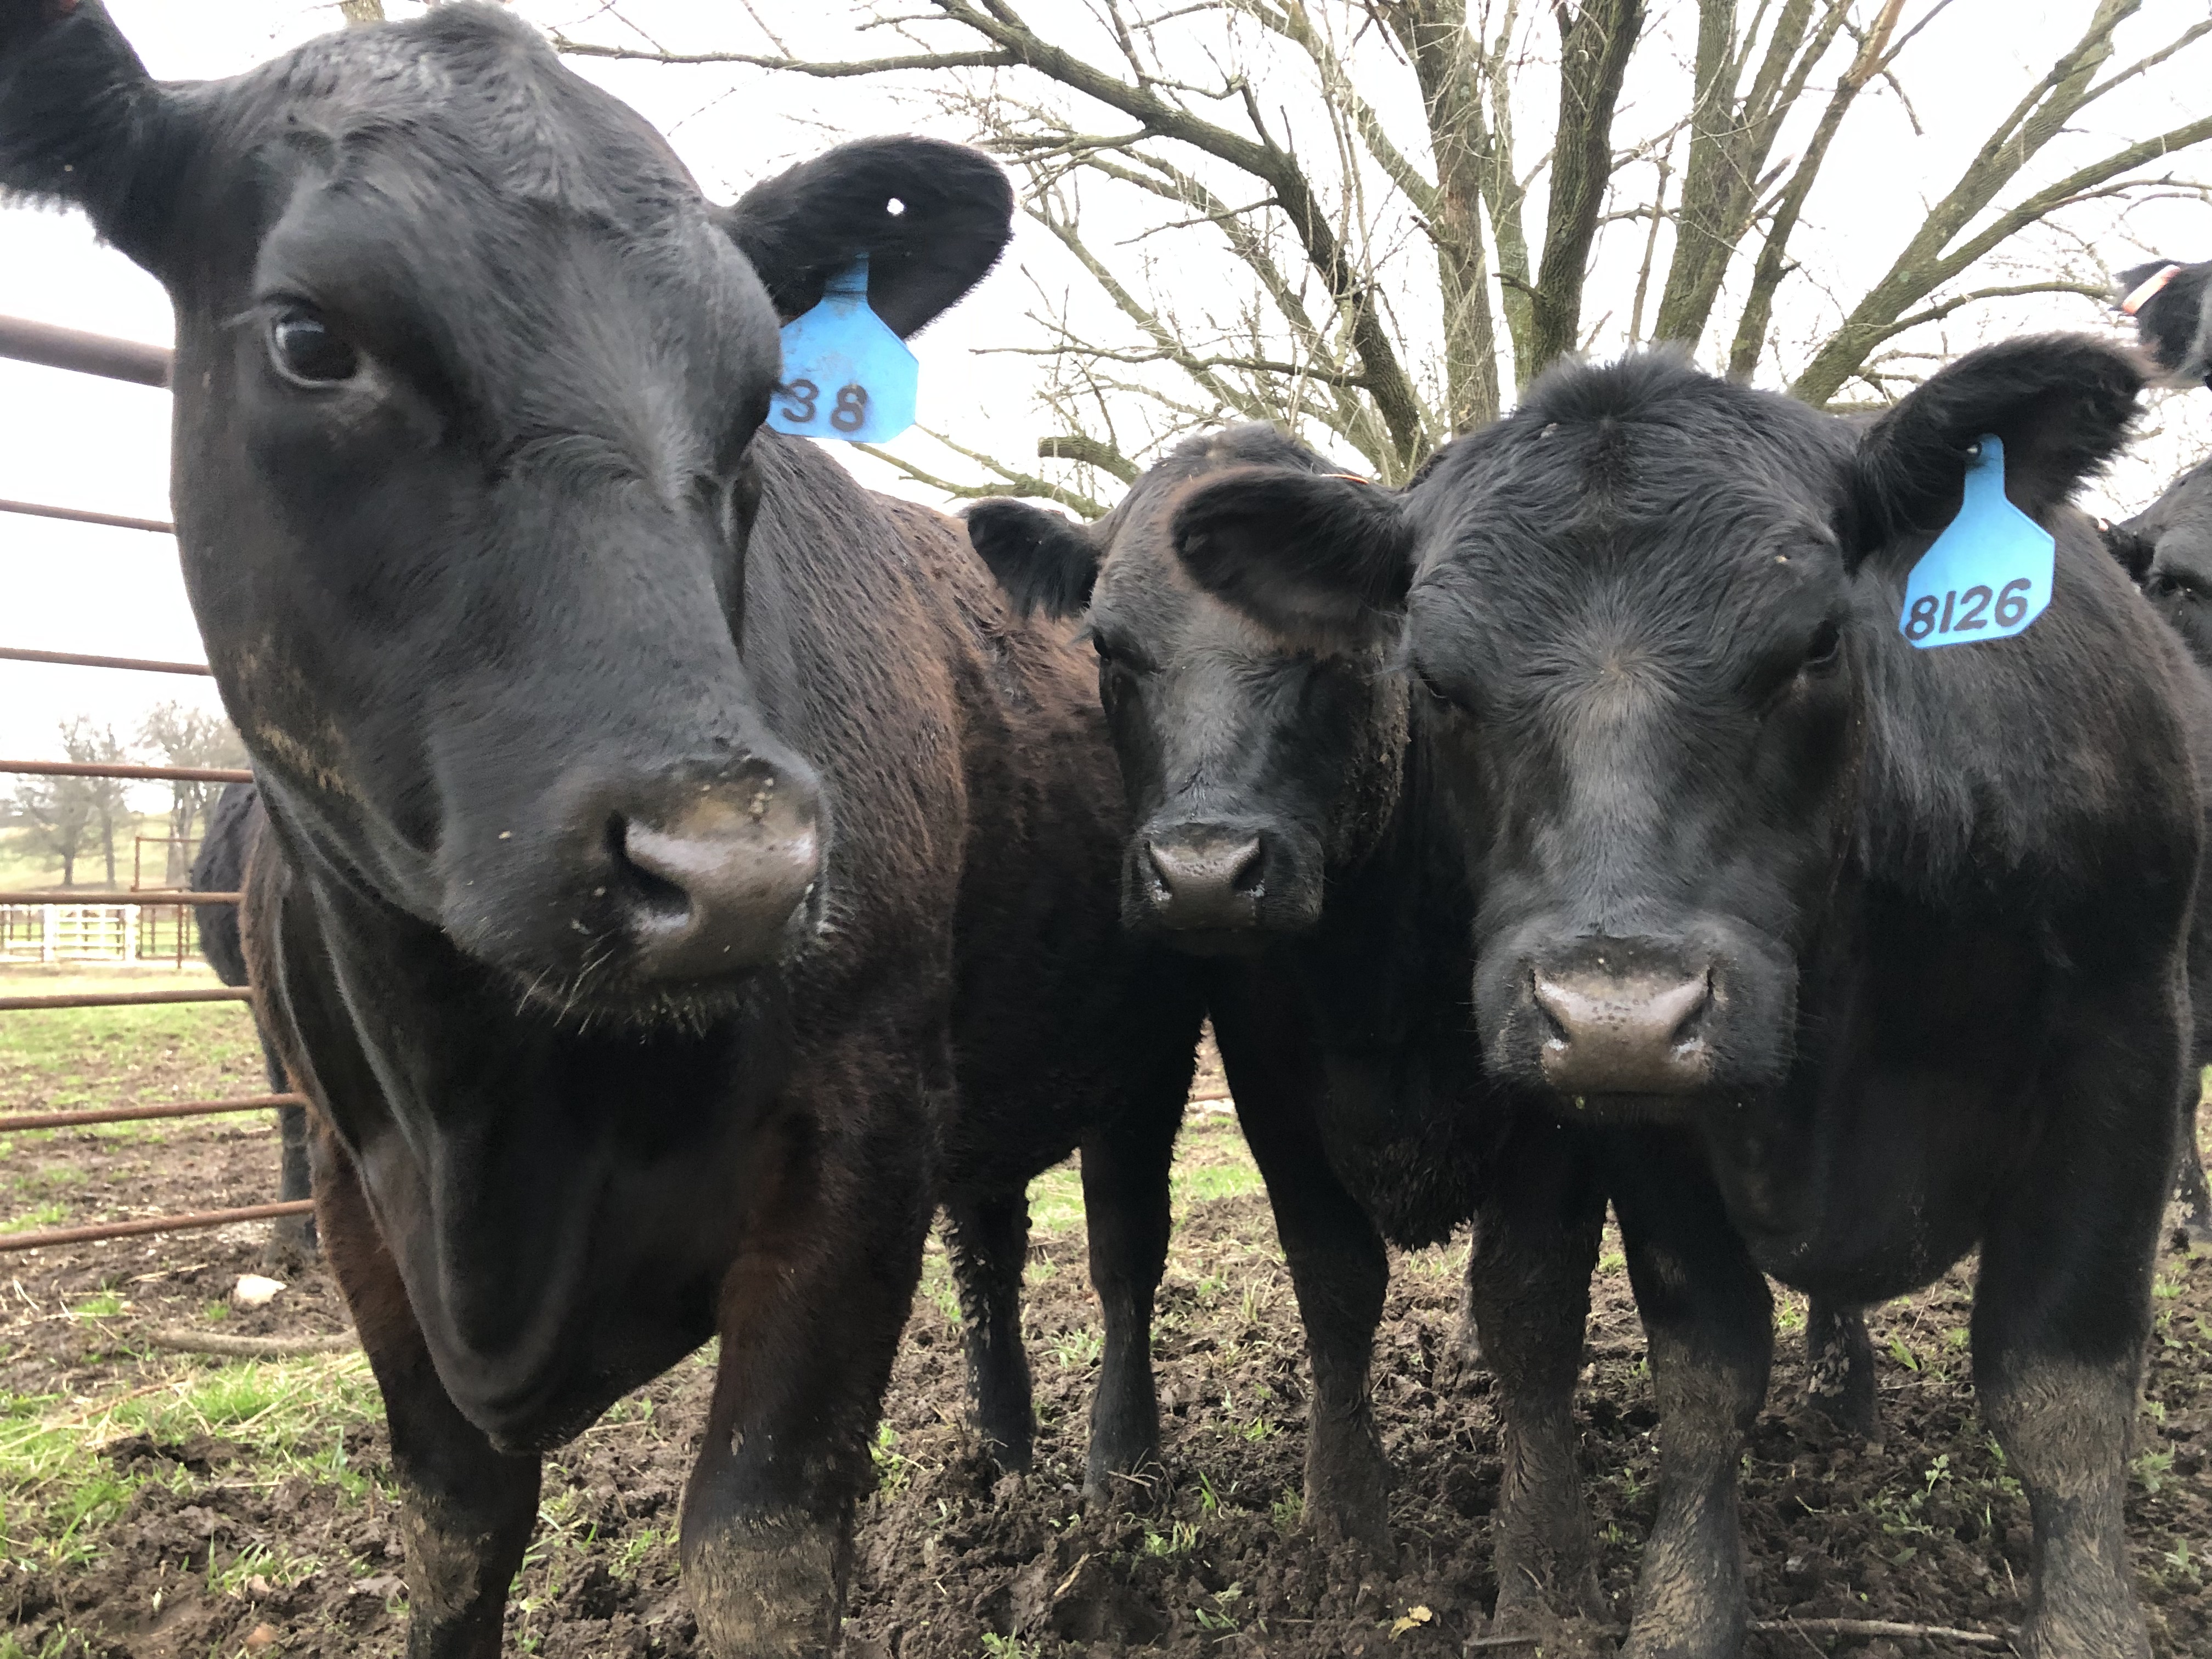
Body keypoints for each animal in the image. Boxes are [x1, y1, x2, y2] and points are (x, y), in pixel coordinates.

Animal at [1163, 340, 2201, 1658]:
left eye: (1817, 642)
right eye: (1435, 680)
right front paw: (1682, 1614)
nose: (1620, 1010)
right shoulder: (1644, 1123)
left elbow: (2059, 1393)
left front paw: (2089, 1624)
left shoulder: (2125, 1046)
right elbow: (1705, 1376)